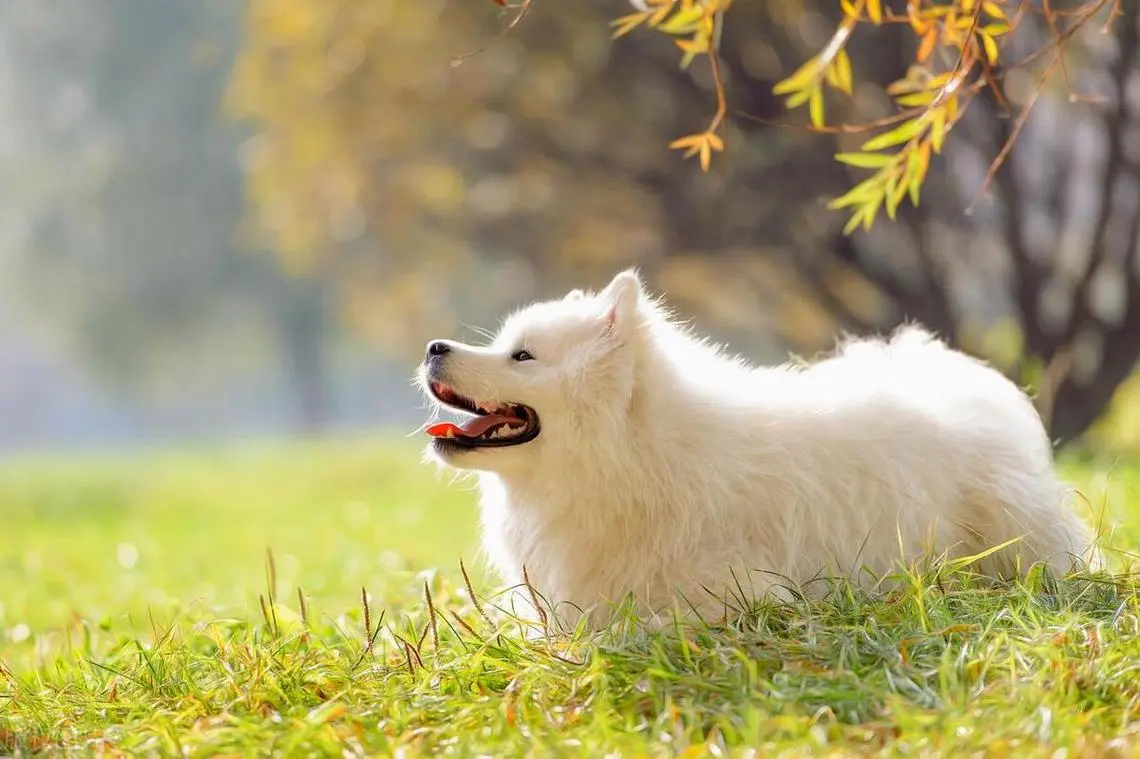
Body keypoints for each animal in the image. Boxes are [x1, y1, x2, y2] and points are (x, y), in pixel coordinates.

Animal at [419, 268, 1094, 629]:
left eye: (522, 356)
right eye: (507, 344)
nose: (432, 346)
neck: (630, 457)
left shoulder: (741, 593)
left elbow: (628, 627)